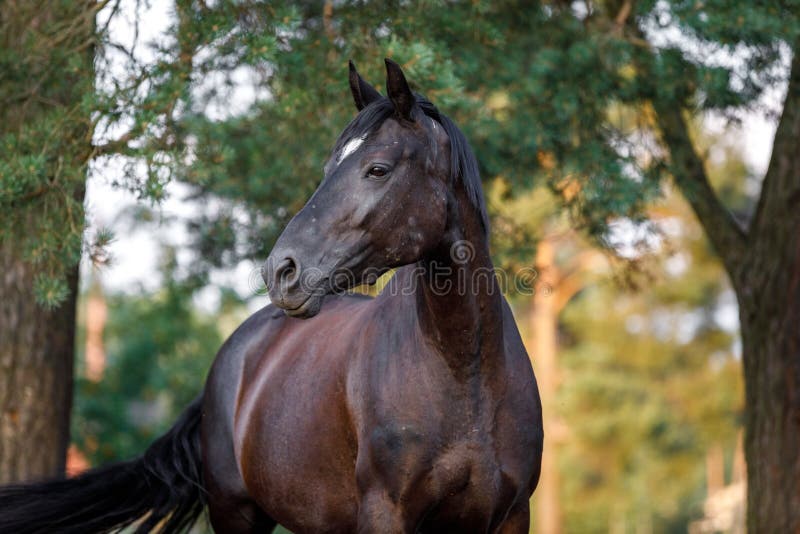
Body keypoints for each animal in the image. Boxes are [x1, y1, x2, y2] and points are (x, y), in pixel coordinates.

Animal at [1, 59, 544, 534]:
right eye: (328, 166)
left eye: (378, 168)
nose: (281, 270)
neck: (464, 373)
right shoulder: (385, 515)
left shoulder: (512, 517)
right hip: (237, 514)